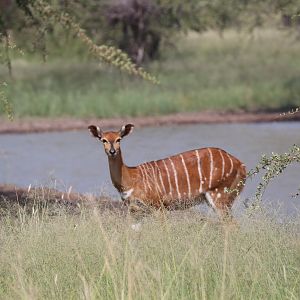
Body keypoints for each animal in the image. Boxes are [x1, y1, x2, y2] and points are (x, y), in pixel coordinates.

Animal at [88, 124, 246, 218]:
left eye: (119, 139)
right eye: (103, 140)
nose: (112, 152)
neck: (131, 177)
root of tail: (240, 164)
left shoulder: (158, 206)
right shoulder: (135, 211)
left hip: (220, 197)